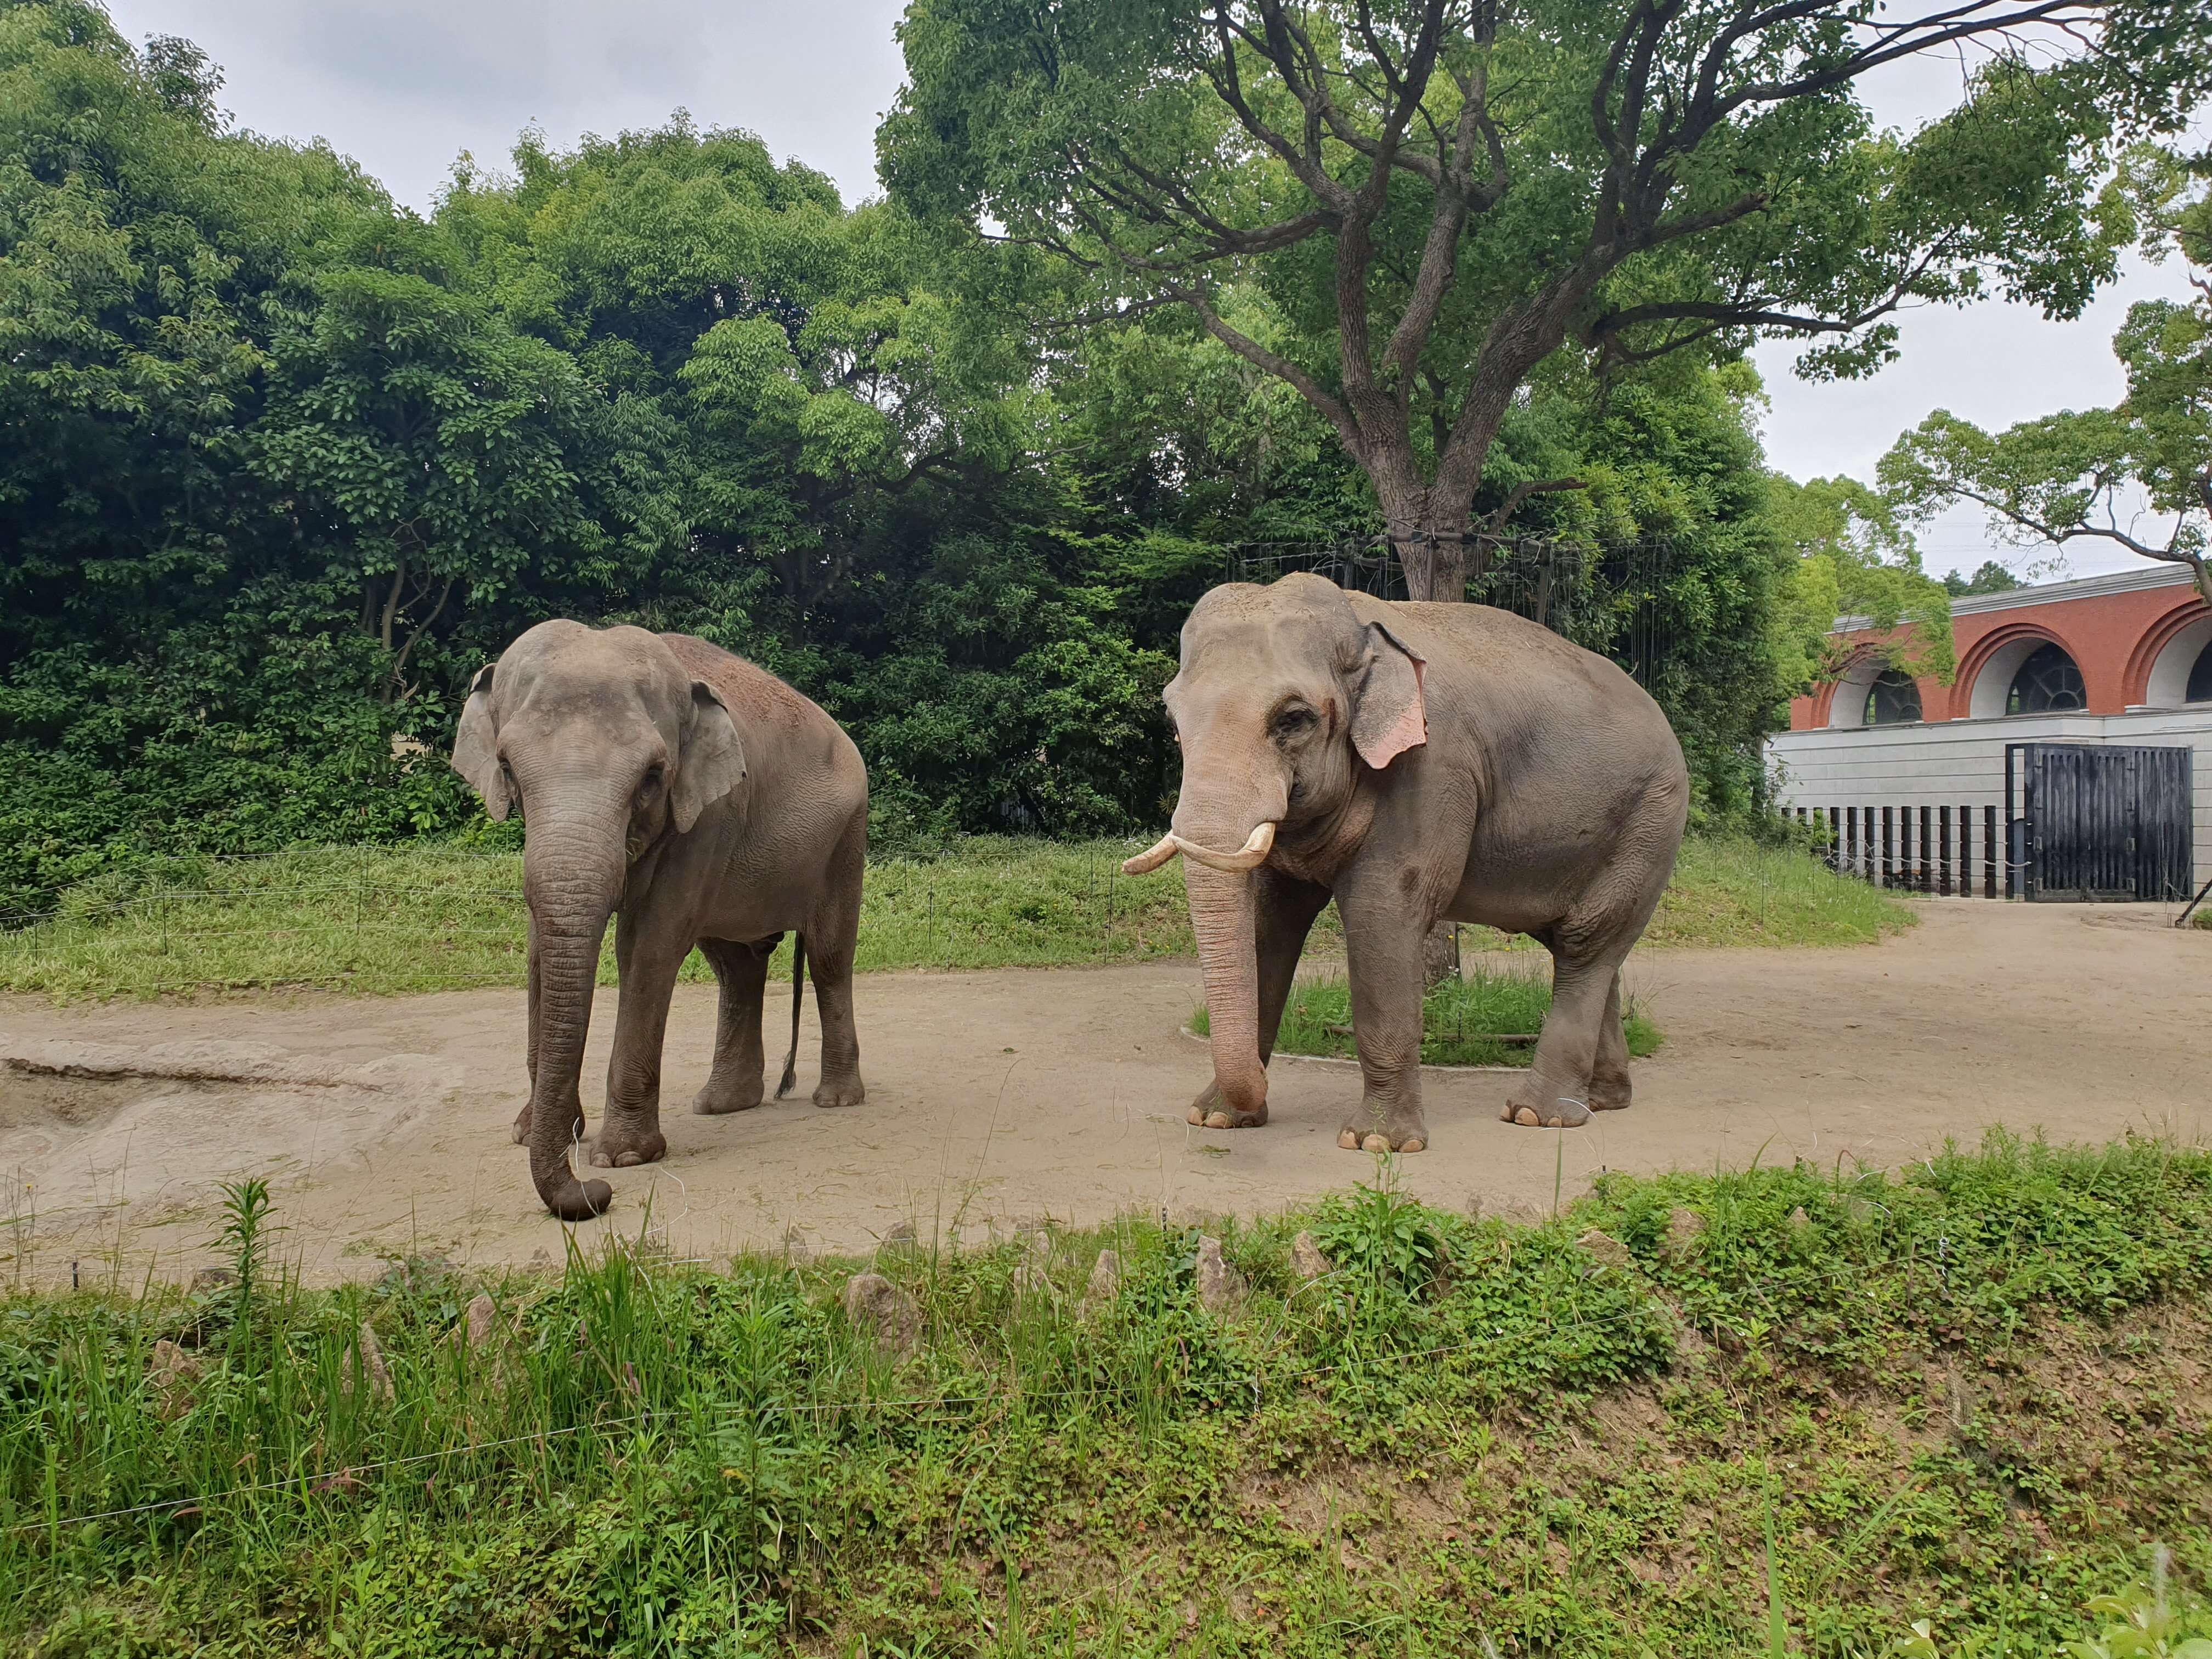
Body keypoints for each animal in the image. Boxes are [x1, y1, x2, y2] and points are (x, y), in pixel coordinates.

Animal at [447, 624, 862, 1221]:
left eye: (651, 777)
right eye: (507, 769)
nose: (594, 1195)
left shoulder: (709, 816)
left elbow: (647, 946)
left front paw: (620, 1158)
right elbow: (537, 951)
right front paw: (530, 1134)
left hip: (846, 840)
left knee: (829, 957)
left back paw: (836, 1099)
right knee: (736, 963)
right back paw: (721, 1104)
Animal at [1132, 579, 1681, 1150]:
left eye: (1294, 718)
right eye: (1173, 723)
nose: (1253, 1093)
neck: (1361, 626)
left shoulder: (1431, 769)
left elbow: (1383, 912)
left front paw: (1378, 1143)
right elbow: (1269, 920)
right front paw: (1215, 1118)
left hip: (1650, 820)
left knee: (1587, 944)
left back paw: (1537, 1115)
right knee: (1588, 949)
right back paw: (1601, 1102)